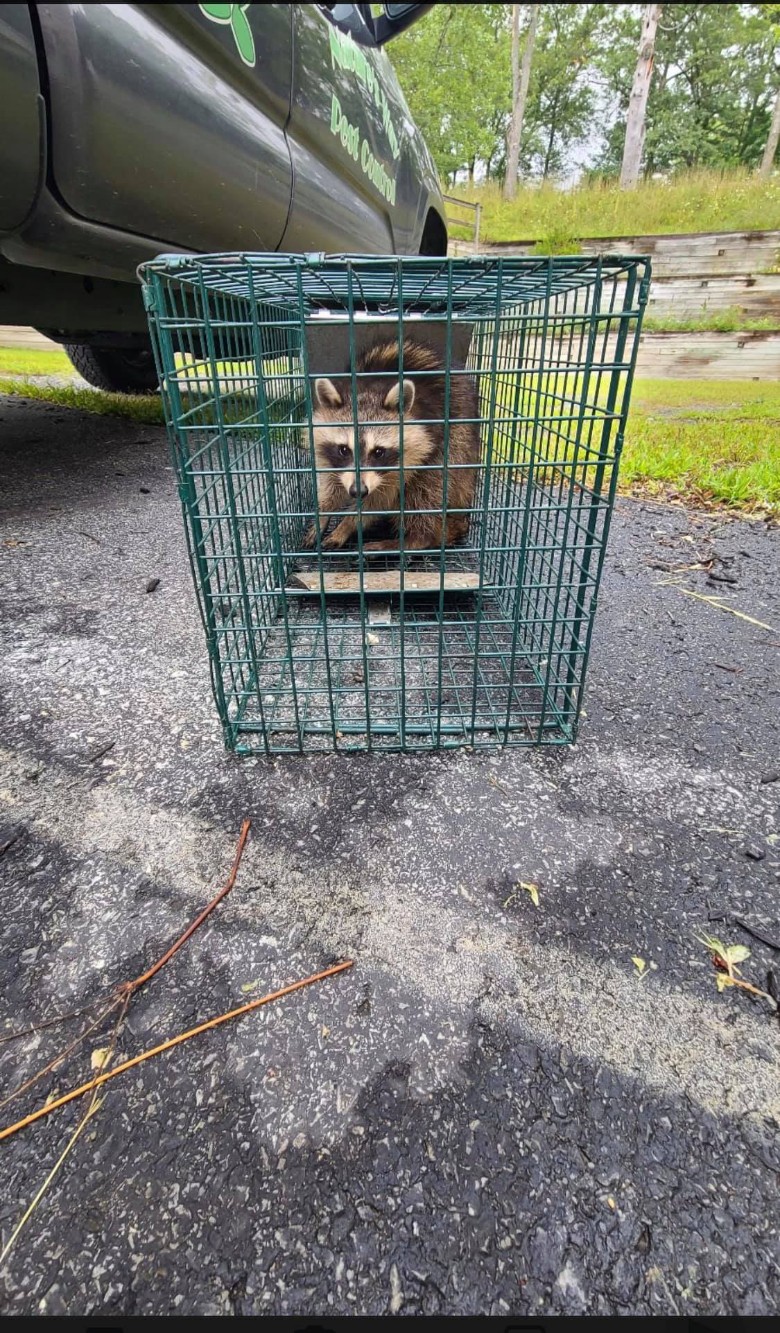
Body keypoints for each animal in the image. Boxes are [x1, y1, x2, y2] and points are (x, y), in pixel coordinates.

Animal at [302, 338, 480, 553]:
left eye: (379, 452)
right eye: (344, 449)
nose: (357, 491)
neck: (368, 388)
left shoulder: (411, 457)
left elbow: (380, 500)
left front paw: (347, 525)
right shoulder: (328, 456)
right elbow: (330, 485)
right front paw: (322, 515)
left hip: (457, 444)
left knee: (426, 488)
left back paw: (415, 539)